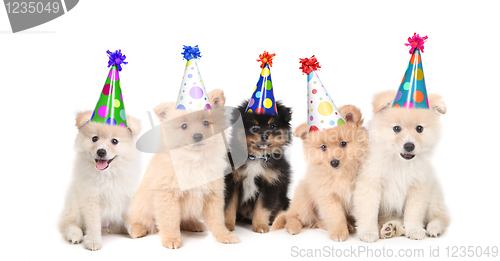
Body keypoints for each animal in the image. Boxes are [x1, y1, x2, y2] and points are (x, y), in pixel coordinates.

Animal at [58, 110, 143, 249]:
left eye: (114, 141)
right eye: (94, 139)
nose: (101, 151)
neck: (108, 173)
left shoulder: (128, 195)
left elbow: (131, 215)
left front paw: (136, 229)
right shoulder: (91, 199)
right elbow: (93, 224)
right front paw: (93, 241)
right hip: (74, 204)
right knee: (69, 223)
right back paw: (74, 234)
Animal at [128, 89, 239, 248]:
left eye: (206, 123)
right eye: (184, 126)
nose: (198, 136)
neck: (194, 160)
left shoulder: (213, 194)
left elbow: (217, 219)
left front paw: (224, 235)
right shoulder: (168, 195)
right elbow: (170, 220)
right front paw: (171, 239)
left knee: (184, 221)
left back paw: (195, 225)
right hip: (141, 207)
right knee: (140, 220)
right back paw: (137, 230)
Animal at [224, 99, 292, 232]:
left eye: (272, 126)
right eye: (254, 128)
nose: (264, 135)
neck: (256, 158)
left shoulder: (270, 183)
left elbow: (262, 208)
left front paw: (260, 226)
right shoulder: (232, 181)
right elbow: (229, 205)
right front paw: (227, 225)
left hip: (284, 200)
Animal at [274, 105, 368, 240]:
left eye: (343, 143)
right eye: (323, 147)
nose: (334, 162)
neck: (341, 173)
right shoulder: (327, 196)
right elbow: (336, 216)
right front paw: (339, 232)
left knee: (317, 221)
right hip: (304, 201)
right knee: (292, 216)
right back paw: (292, 227)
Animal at [352, 91, 450, 242]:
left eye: (419, 128)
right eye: (396, 128)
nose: (409, 146)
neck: (400, 162)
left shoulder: (418, 186)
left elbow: (414, 212)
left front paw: (415, 230)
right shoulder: (370, 184)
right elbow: (368, 211)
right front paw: (368, 232)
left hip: (433, 194)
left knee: (440, 217)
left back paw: (434, 228)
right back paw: (390, 228)